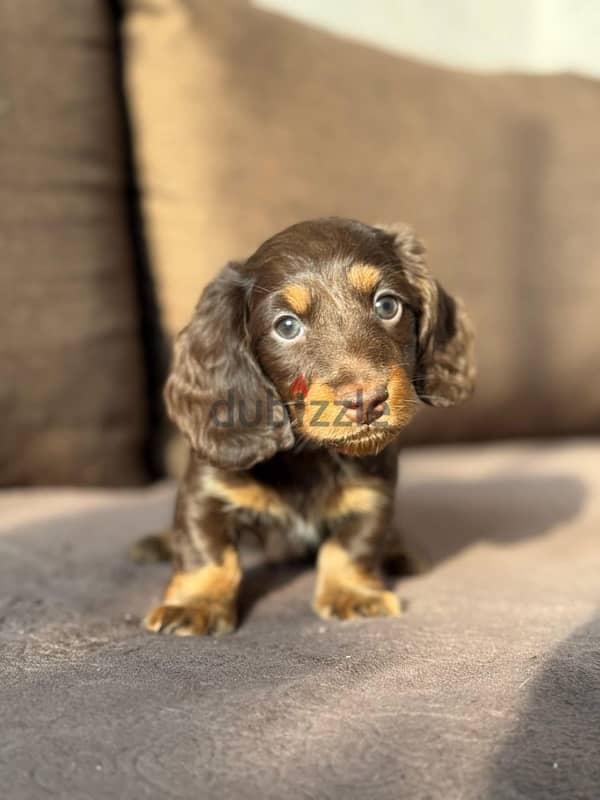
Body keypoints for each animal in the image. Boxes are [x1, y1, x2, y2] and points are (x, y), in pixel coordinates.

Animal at [143, 219, 476, 636]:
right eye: (286, 326)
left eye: (387, 305)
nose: (367, 401)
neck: (307, 455)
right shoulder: (206, 490)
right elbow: (207, 552)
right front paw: (194, 604)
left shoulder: (372, 493)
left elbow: (351, 546)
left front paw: (354, 594)